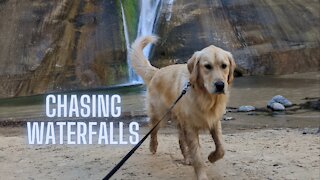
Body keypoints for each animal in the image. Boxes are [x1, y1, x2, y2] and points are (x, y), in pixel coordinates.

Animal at [129, 35, 235, 180]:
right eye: (207, 66)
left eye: (224, 66)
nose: (220, 85)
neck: (205, 97)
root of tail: (158, 71)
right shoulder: (191, 127)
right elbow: (197, 156)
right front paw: (202, 175)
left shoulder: (214, 121)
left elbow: (221, 148)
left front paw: (212, 157)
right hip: (160, 115)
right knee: (153, 130)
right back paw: (153, 146)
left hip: (180, 121)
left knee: (180, 140)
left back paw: (187, 158)